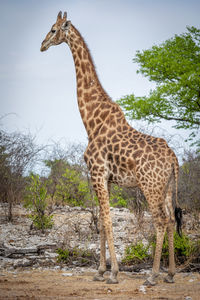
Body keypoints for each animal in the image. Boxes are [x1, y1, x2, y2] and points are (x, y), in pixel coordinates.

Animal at [41, 10, 183, 284]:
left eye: (53, 29)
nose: (41, 45)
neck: (91, 120)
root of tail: (173, 159)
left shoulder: (96, 172)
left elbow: (106, 221)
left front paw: (113, 273)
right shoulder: (105, 178)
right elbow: (102, 223)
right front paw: (100, 271)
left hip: (150, 185)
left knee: (160, 220)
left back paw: (153, 275)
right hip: (168, 186)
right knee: (171, 219)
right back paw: (170, 274)